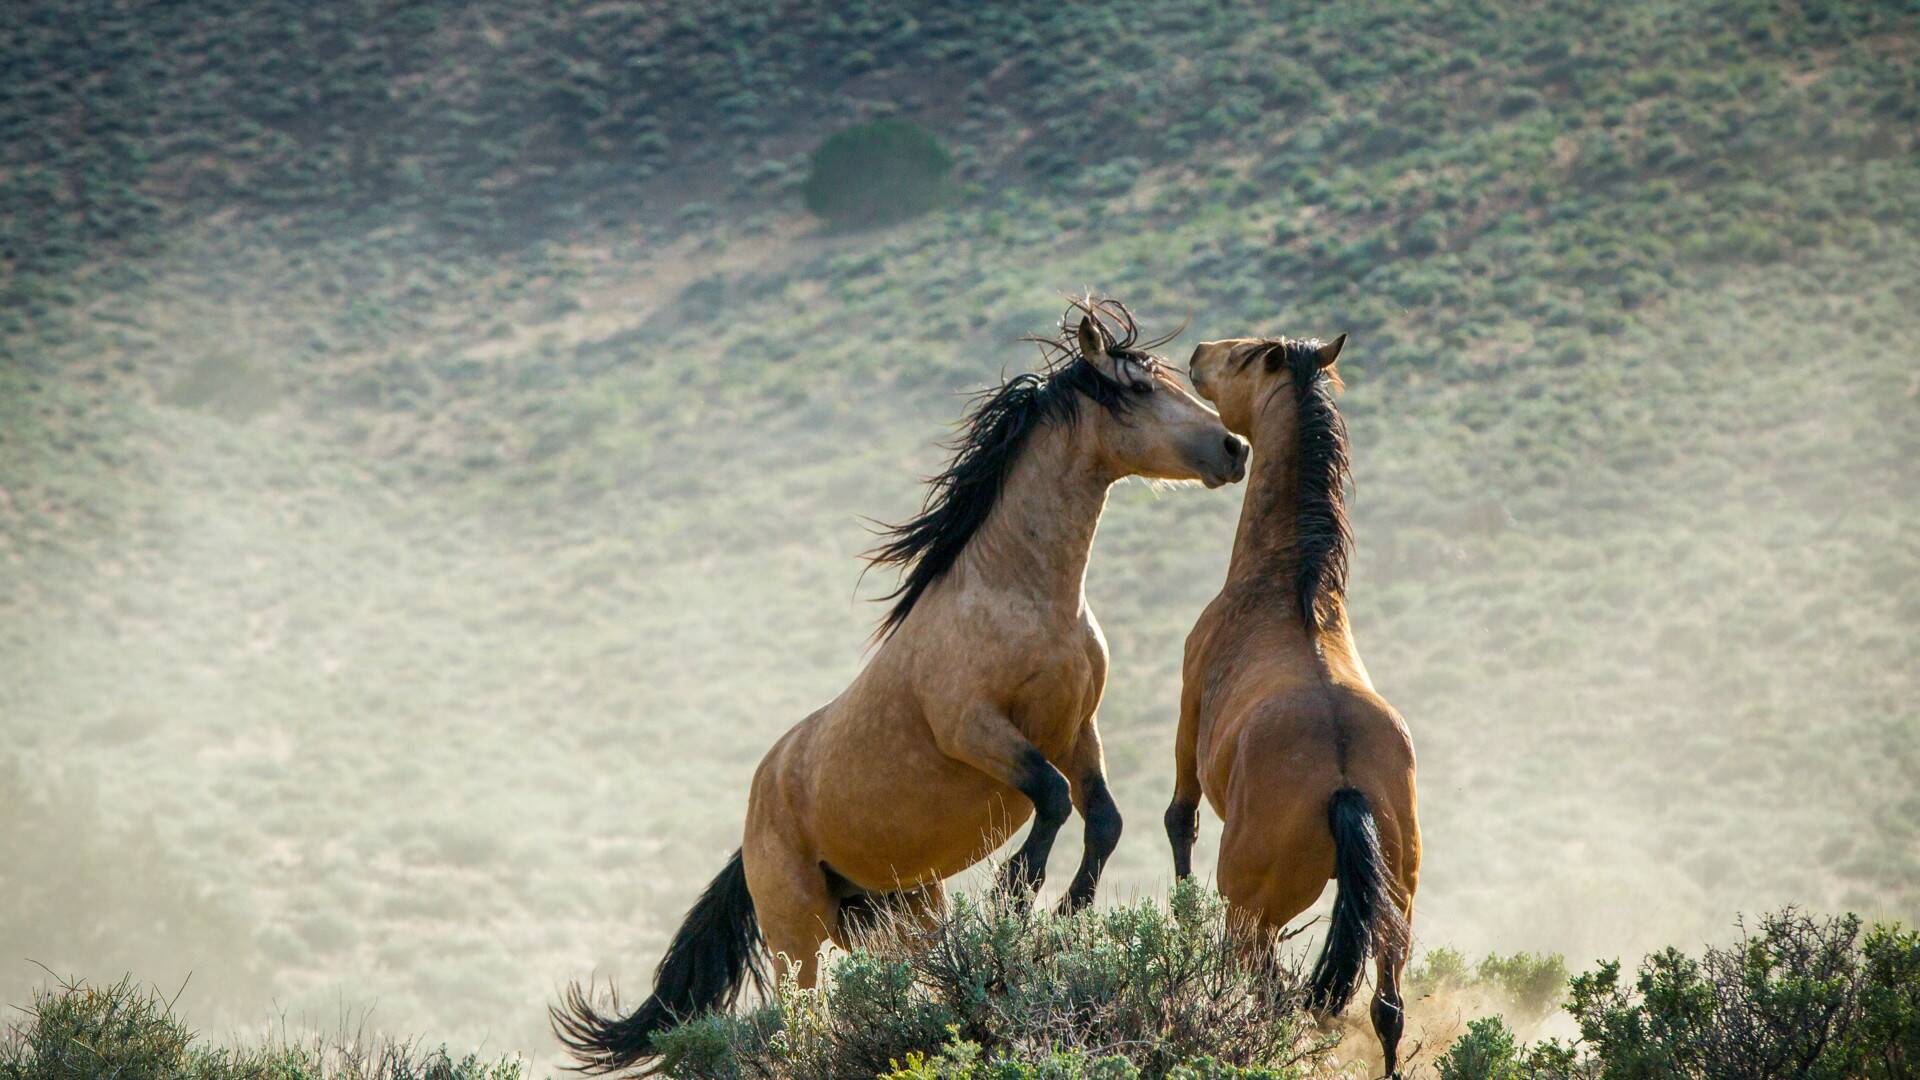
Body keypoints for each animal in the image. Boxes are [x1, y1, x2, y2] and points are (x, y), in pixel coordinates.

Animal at [552, 294, 1244, 1068]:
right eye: (1140, 387)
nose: (1233, 449)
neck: (1025, 594)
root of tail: (754, 814)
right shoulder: (976, 730)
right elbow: (1052, 800)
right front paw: (1016, 896)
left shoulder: (1076, 731)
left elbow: (1102, 819)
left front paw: (1065, 915)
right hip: (796, 937)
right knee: (799, 1018)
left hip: (896, 915)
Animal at [1159, 332, 1420, 1068]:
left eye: (1246, 356)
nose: (1199, 352)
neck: (1287, 590)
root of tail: (1345, 782)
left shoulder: (1188, 711)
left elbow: (1179, 820)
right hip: (1396, 909)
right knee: (1386, 1009)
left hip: (1251, 907)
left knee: (1263, 990)